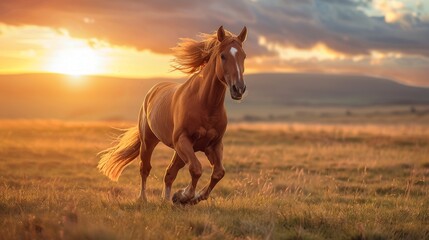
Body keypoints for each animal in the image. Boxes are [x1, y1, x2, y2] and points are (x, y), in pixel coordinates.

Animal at [95, 26, 246, 206]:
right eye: (223, 56)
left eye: (243, 56)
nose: (239, 88)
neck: (205, 105)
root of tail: (154, 90)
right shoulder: (183, 140)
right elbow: (196, 169)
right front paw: (183, 196)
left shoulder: (214, 145)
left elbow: (218, 173)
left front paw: (191, 198)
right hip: (149, 141)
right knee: (145, 168)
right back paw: (144, 198)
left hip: (179, 151)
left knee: (170, 173)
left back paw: (166, 200)